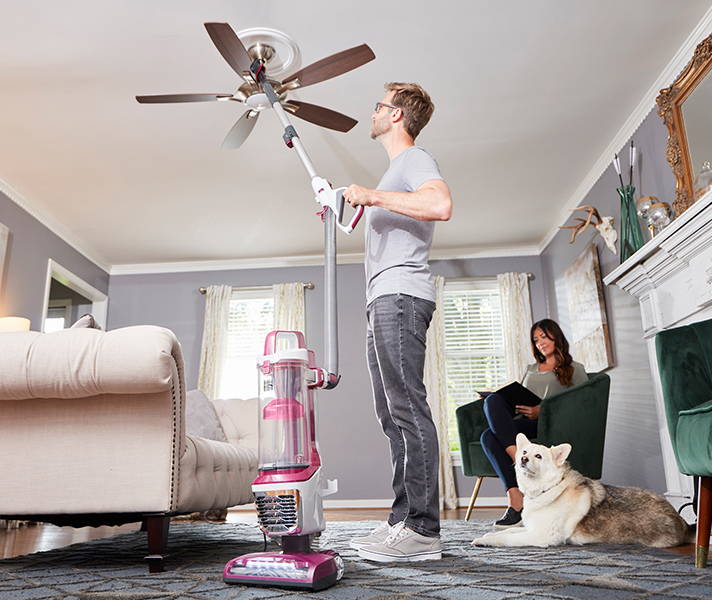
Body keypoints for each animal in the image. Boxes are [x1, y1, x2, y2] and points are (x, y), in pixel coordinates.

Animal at [470, 436, 692, 548]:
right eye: (524, 452)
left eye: (539, 456)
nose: (523, 459)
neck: (548, 489)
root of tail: (682, 522)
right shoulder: (531, 528)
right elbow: (508, 531)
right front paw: (487, 534)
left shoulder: (541, 537)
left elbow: (505, 538)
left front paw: (484, 541)